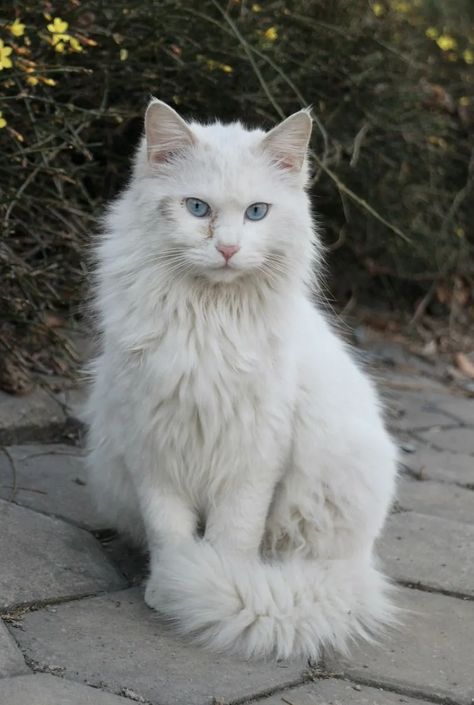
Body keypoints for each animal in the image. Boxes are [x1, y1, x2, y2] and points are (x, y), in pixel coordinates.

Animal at [84, 99, 396, 660]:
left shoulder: (254, 456)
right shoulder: (152, 447)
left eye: (256, 213)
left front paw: (208, 583)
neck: (207, 318)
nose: (228, 249)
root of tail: (359, 563)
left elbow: (232, 537)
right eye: (197, 209)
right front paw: (172, 586)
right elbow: (169, 532)